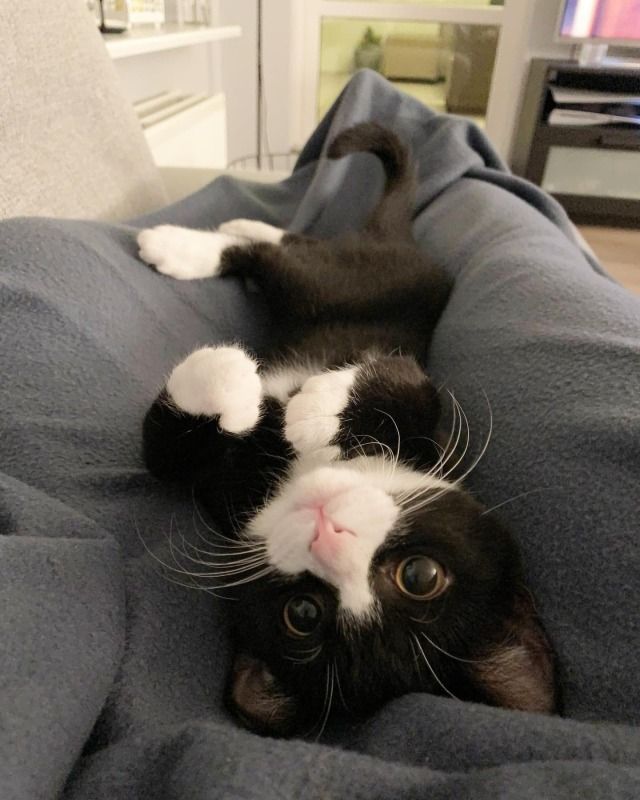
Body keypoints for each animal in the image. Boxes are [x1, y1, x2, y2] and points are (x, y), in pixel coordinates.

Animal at [138, 120, 556, 736]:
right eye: (421, 574)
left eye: (304, 613)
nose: (328, 535)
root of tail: (405, 242)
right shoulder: (430, 424)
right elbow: (416, 389)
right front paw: (294, 402)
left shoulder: (227, 505)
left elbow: (162, 457)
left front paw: (255, 394)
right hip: (366, 280)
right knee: (294, 257)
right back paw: (195, 241)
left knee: (293, 257)